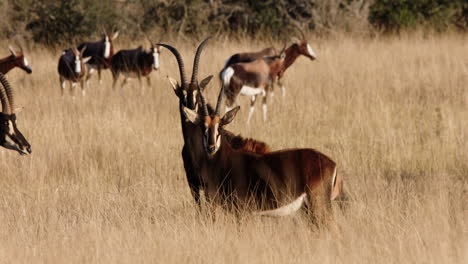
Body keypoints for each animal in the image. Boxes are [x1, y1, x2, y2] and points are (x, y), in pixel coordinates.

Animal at [183, 84, 344, 225]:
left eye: (220, 127)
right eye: (203, 126)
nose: (211, 147)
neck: (226, 162)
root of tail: (332, 164)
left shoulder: (243, 212)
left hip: (319, 207)